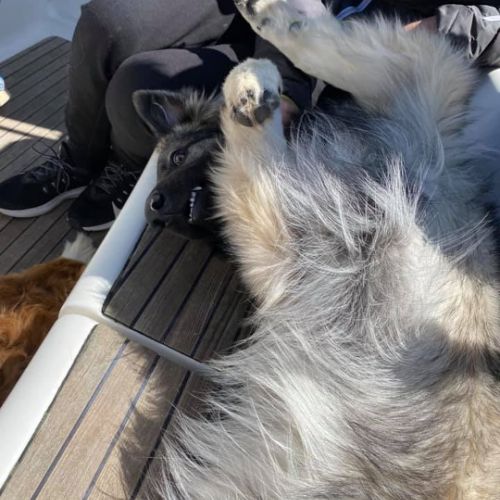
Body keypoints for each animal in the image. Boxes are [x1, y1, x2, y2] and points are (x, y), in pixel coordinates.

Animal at [134, 2, 500, 498]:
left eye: (174, 158)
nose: (151, 210)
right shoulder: (281, 254)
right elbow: (251, 163)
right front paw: (248, 93)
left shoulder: (426, 88)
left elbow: (344, 53)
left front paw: (274, 28)